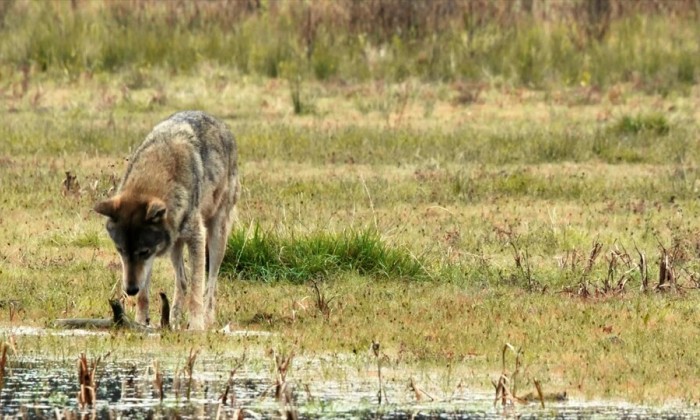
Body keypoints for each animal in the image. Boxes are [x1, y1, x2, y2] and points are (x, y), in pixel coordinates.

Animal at [94, 111, 239, 330]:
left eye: (143, 252)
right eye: (120, 251)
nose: (130, 290)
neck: (154, 172)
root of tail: (220, 123)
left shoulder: (196, 238)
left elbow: (197, 289)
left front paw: (196, 327)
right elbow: (145, 294)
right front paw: (140, 323)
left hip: (216, 237)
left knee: (210, 284)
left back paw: (206, 319)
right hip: (174, 246)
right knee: (182, 281)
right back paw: (172, 320)